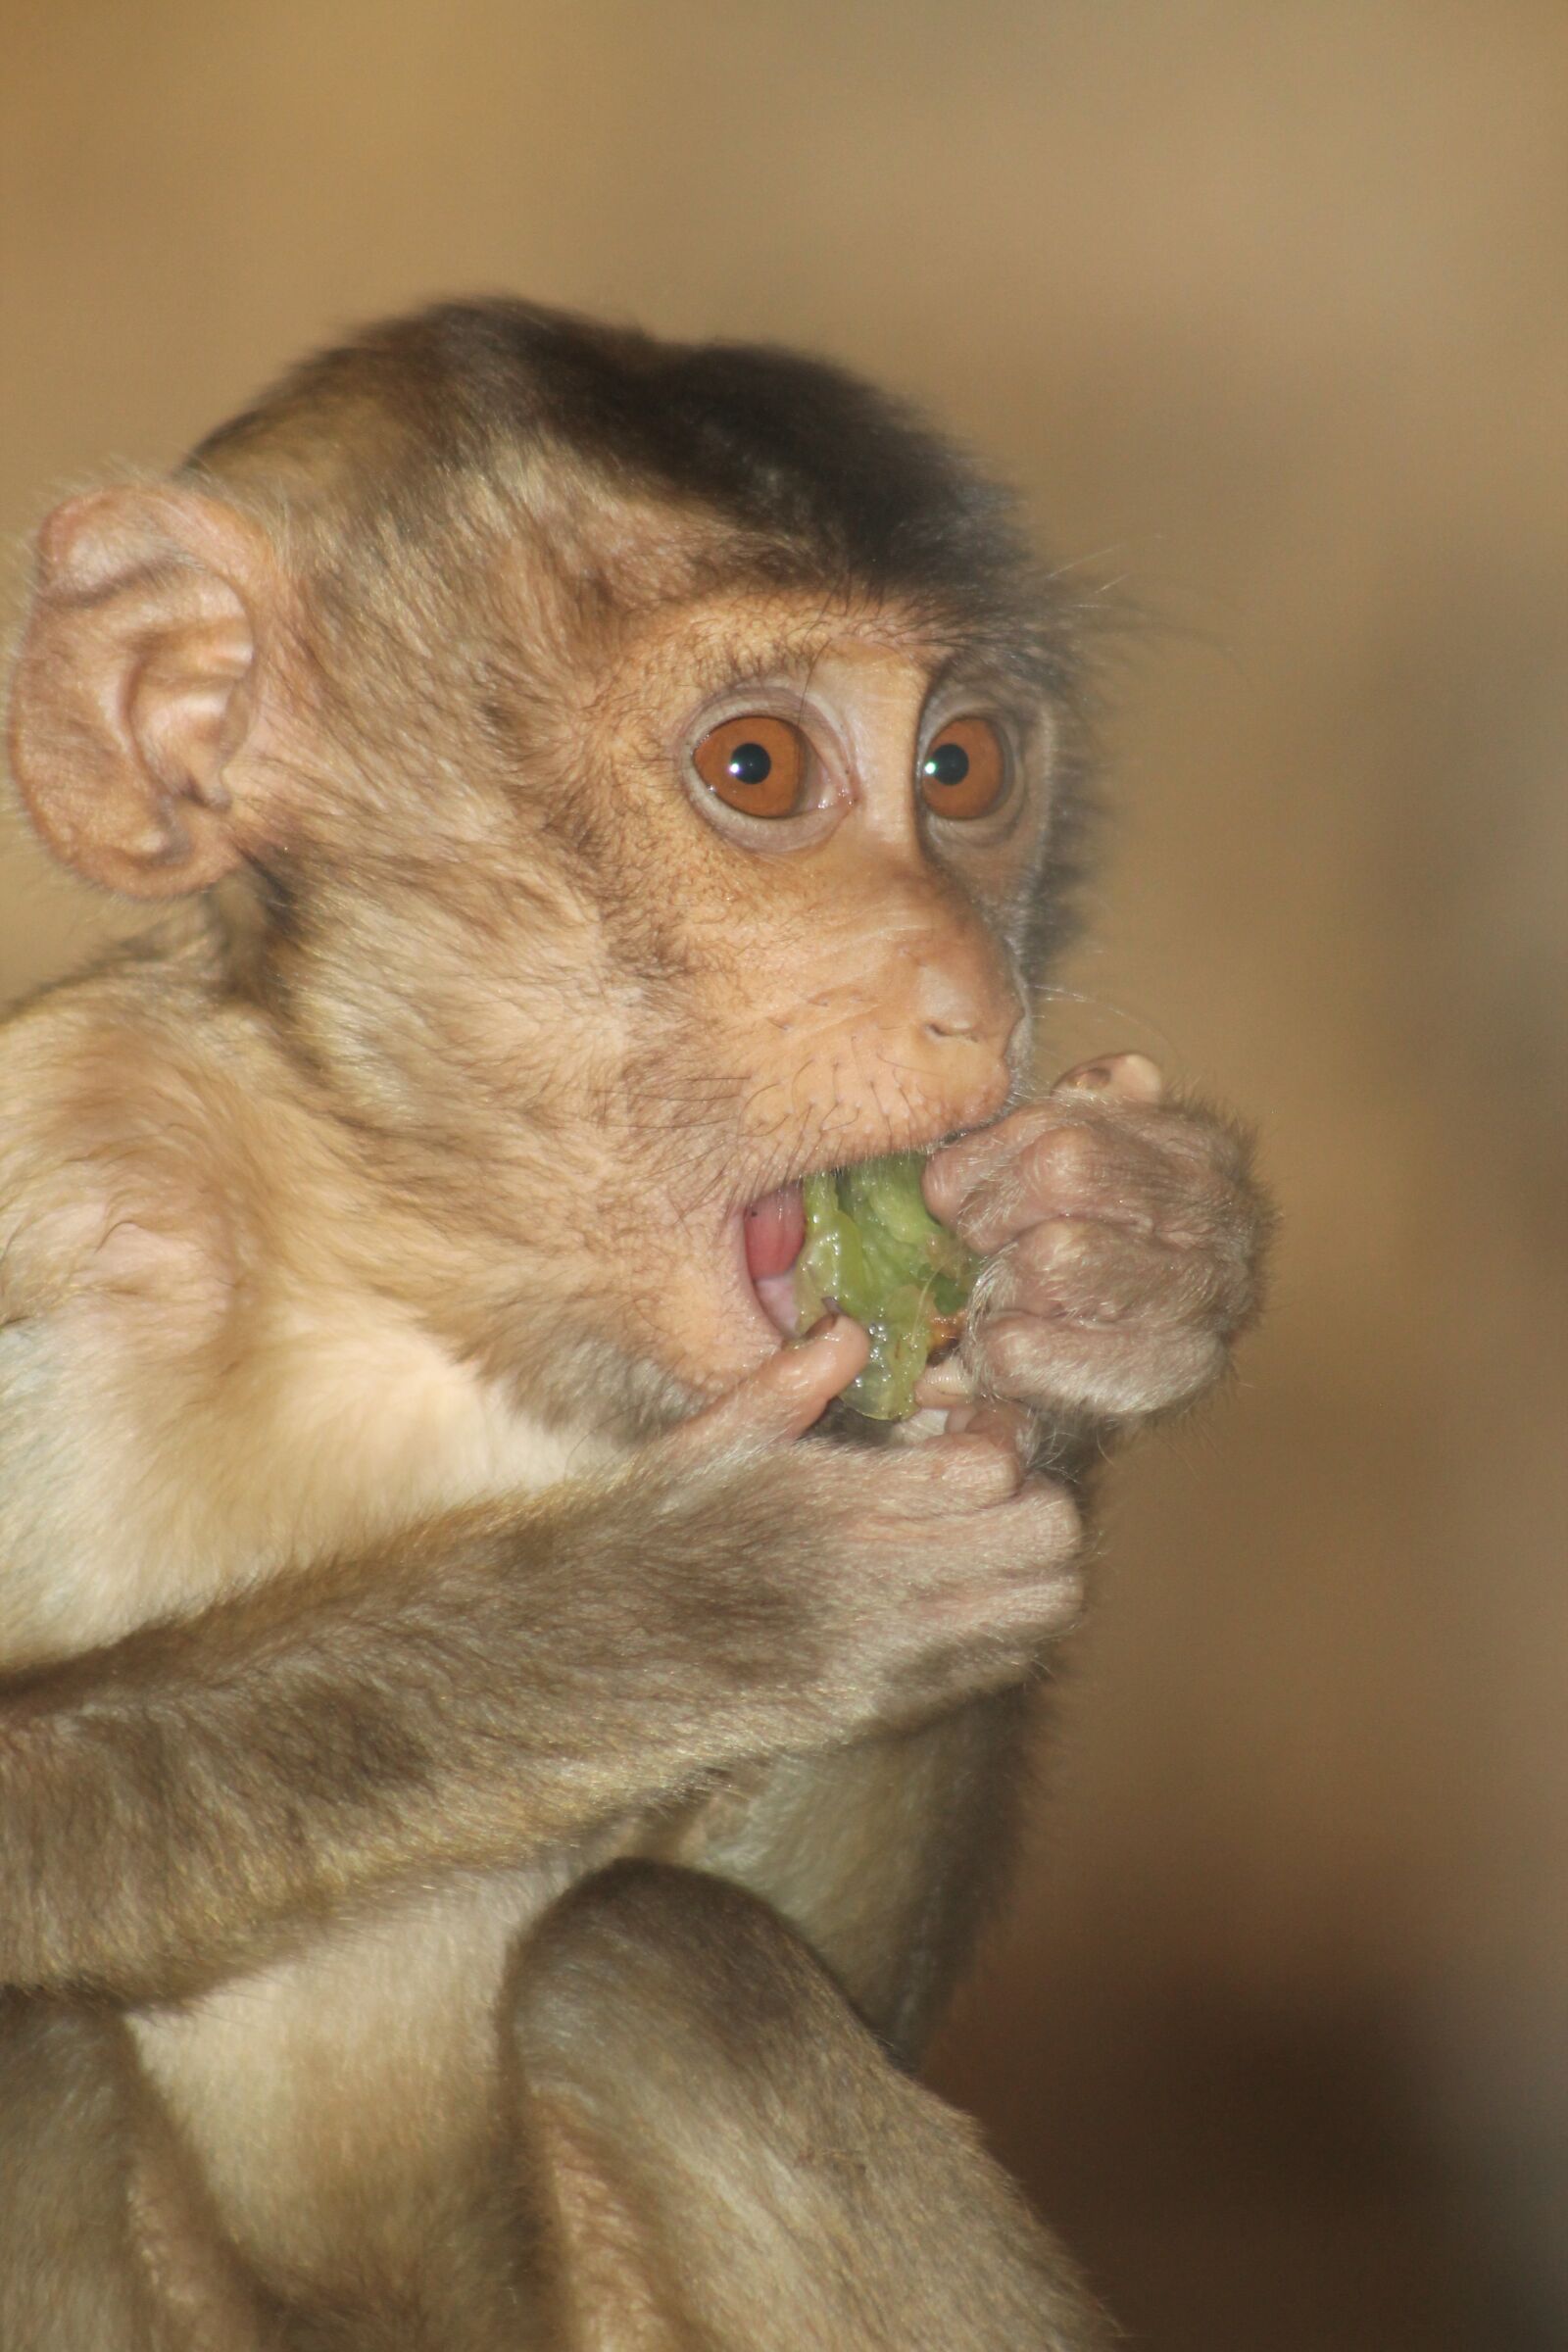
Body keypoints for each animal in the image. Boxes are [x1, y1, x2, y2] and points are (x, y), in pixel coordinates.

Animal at [0, 300, 1266, 2350]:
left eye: (964, 768)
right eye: (758, 767)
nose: (969, 996)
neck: (414, 1285)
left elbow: (820, 1976)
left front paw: (1116, 1258)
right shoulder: (59, 1147)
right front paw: (684, 1605)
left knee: (663, 1972)